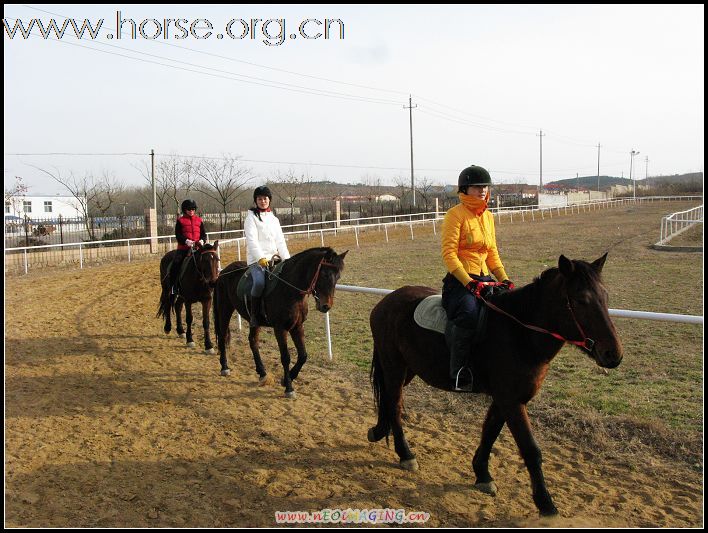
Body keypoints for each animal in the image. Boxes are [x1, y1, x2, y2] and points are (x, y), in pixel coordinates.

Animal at [213, 247, 348, 396]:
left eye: (338, 277)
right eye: (324, 274)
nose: (326, 306)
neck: (289, 290)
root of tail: (224, 272)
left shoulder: (297, 327)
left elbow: (303, 355)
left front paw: (287, 378)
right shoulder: (280, 329)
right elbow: (285, 357)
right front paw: (289, 388)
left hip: (254, 322)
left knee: (253, 341)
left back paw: (262, 373)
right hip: (225, 309)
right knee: (223, 336)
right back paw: (224, 367)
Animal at [368, 254, 624, 516]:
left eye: (605, 297)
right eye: (582, 300)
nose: (613, 355)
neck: (520, 333)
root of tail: (386, 302)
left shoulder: (508, 398)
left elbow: (490, 432)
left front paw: (482, 474)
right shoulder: (510, 401)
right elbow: (530, 449)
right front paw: (545, 503)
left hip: (408, 370)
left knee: (390, 402)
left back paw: (380, 434)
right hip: (394, 367)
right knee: (394, 405)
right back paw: (405, 454)